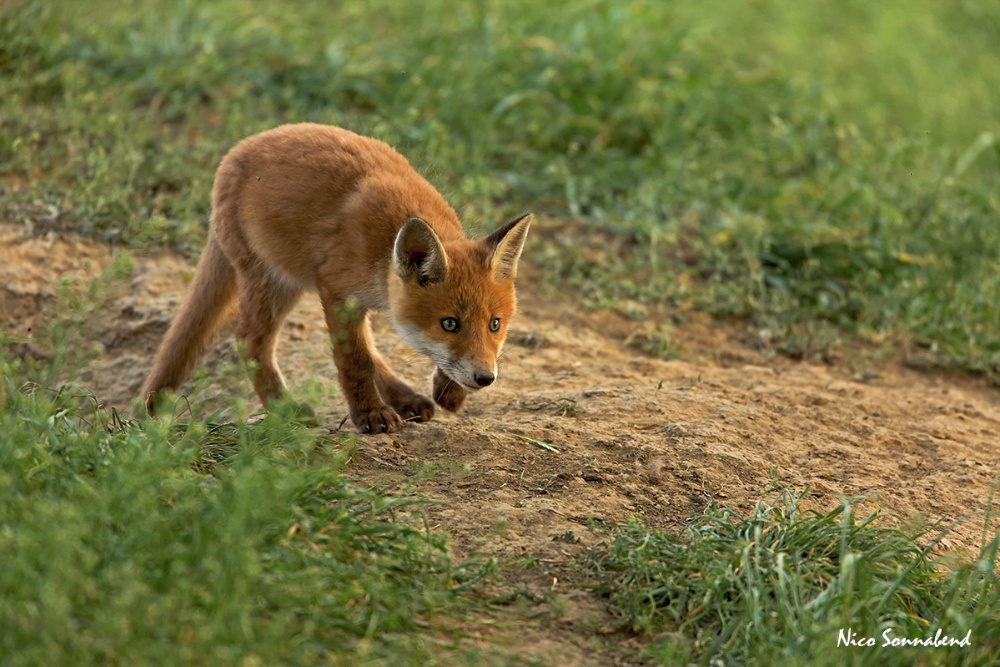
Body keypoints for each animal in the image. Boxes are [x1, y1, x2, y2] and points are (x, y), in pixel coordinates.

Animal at [143, 122, 532, 436]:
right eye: (449, 323)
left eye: (495, 324)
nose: (486, 378)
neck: (382, 248)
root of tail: (236, 152)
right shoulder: (337, 292)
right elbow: (355, 361)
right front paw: (369, 413)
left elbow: (377, 354)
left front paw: (448, 390)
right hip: (274, 282)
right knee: (248, 340)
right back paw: (286, 409)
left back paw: (405, 398)